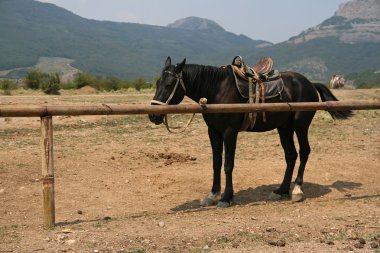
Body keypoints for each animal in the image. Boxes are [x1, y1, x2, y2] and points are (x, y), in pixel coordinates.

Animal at [149, 56, 354, 208]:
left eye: (169, 84)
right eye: (158, 82)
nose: (153, 115)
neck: (218, 90)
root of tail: (310, 83)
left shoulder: (230, 132)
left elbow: (228, 165)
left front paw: (226, 197)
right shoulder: (213, 132)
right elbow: (216, 163)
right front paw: (212, 194)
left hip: (300, 125)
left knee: (304, 152)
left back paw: (297, 190)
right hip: (284, 127)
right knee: (291, 155)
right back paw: (281, 190)